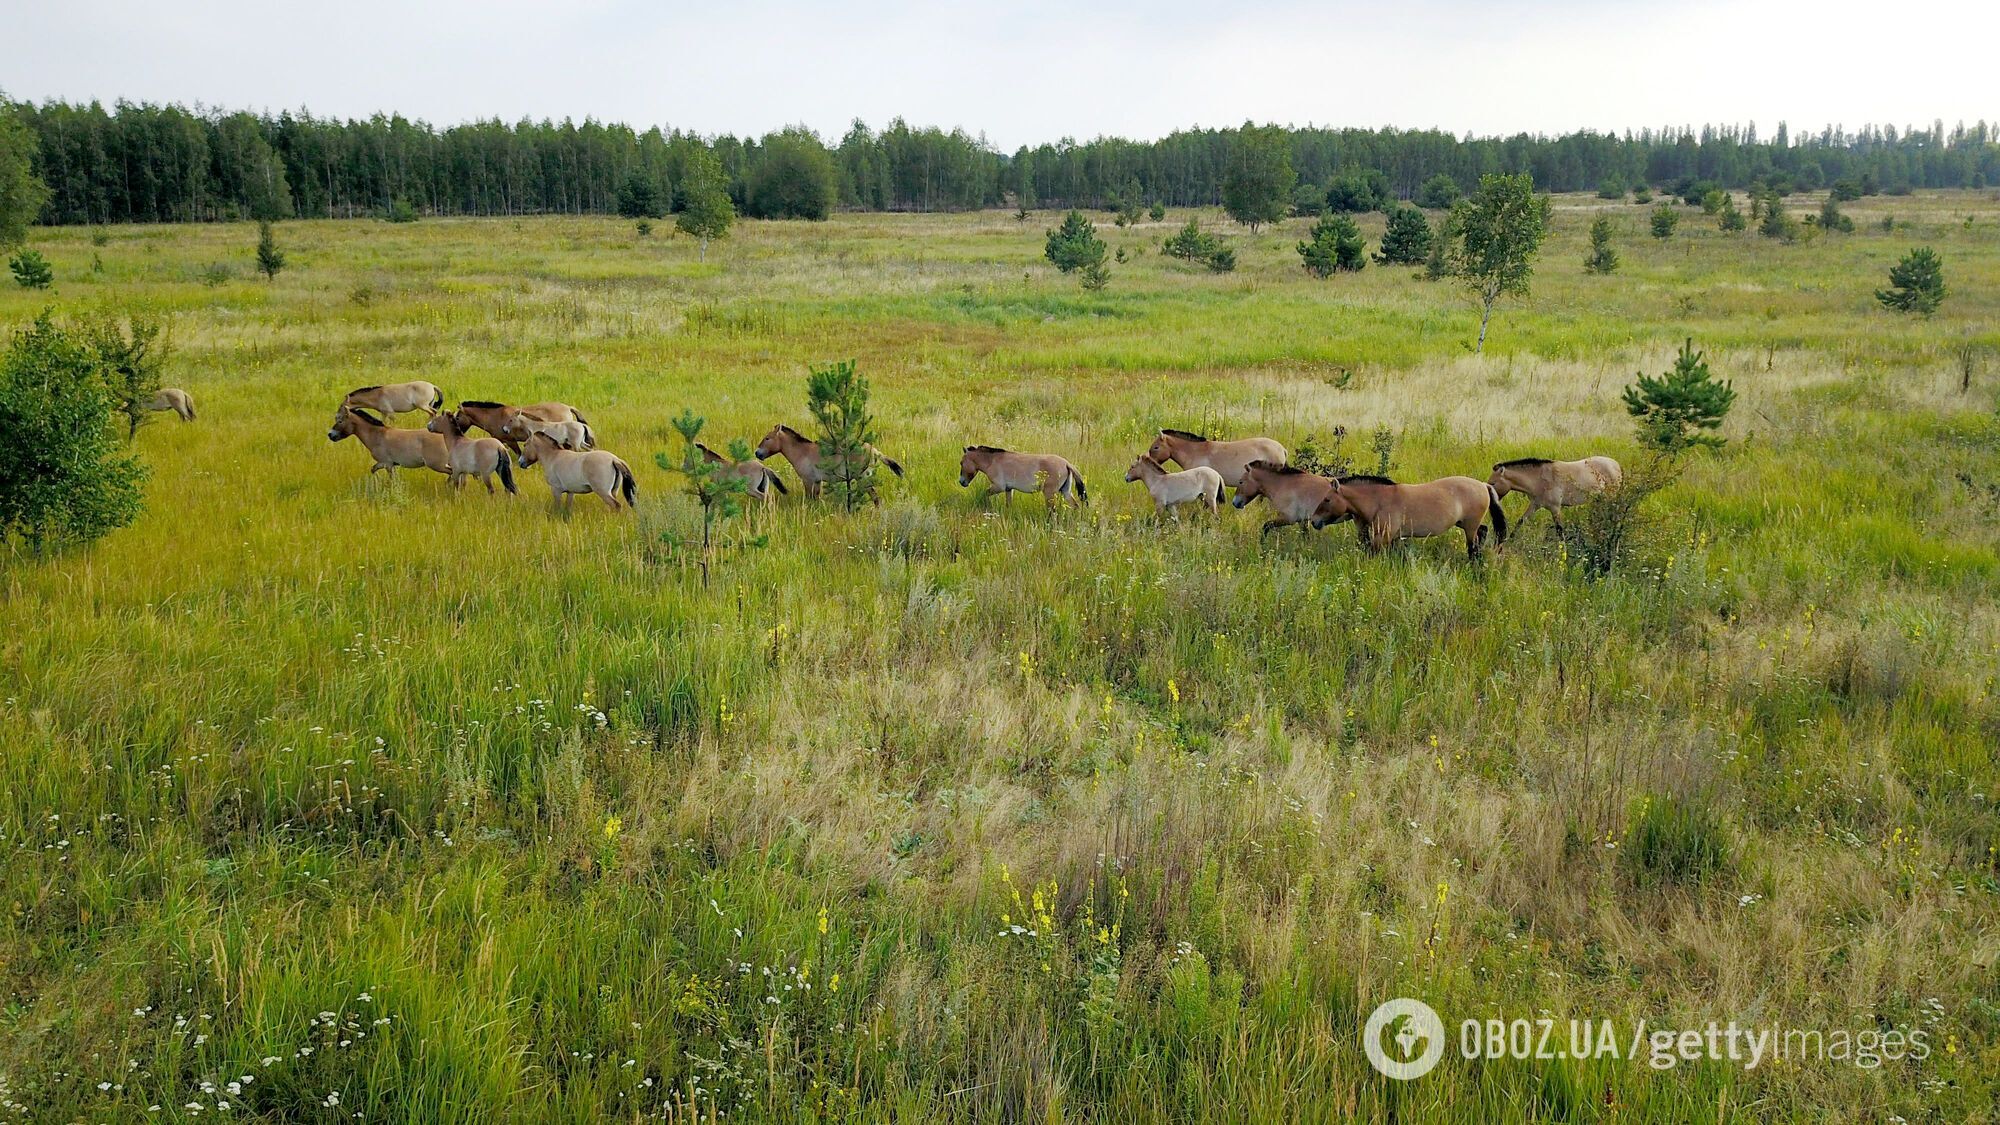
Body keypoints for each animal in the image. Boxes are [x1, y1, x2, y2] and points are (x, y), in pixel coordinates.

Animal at [752, 422, 908, 496]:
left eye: (767, 438)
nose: (757, 453)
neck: (802, 452)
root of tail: (874, 451)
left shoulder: (808, 481)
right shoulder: (817, 481)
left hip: (863, 477)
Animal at [956, 444, 1088, 506]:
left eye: (961, 462)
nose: (961, 482)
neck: (992, 461)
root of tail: (1066, 463)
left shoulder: (999, 487)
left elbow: (985, 494)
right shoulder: (1008, 489)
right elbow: (1008, 504)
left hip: (1050, 494)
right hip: (1065, 492)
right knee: (1075, 506)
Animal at [1304, 472, 1504, 560]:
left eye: (1327, 499)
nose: (1314, 521)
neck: (1379, 500)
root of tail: (1483, 485)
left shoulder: (1382, 538)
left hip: (1469, 527)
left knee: (1473, 546)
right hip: (1465, 524)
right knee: (1483, 531)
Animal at [1488, 452, 1624, 528]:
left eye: (1492, 483)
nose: (1490, 500)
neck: (1539, 479)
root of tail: (1616, 464)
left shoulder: (1555, 508)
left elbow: (1560, 531)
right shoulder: (1535, 505)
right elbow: (1520, 522)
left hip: (1609, 498)